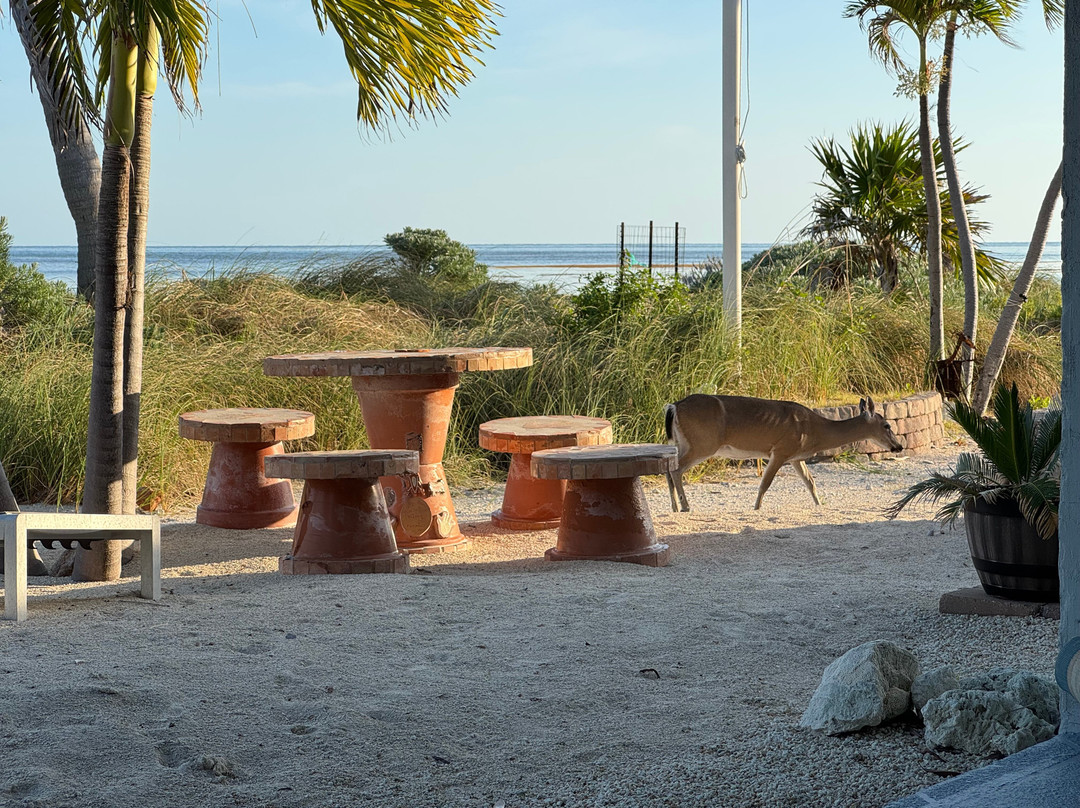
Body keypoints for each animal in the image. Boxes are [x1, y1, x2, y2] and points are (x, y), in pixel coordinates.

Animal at [664, 393, 904, 512]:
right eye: (887, 425)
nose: (899, 447)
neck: (815, 430)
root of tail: (674, 406)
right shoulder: (781, 450)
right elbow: (765, 484)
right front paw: (756, 509)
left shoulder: (795, 457)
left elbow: (810, 482)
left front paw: (820, 506)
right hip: (703, 443)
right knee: (676, 470)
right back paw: (685, 506)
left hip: (682, 441)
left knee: (668, 469)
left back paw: (675, 506)